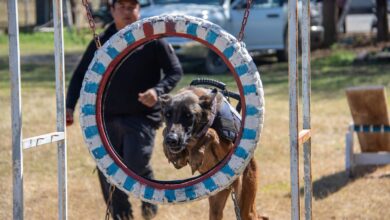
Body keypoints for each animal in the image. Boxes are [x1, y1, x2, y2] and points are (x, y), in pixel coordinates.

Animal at [159, 87, 266, 220]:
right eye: (167, 115)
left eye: (189, 115)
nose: (171, 140)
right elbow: (164, 131)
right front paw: (170, 151)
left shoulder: (227, 149)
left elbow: (211, 132)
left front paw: (197, 151)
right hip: (216, 205)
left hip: (245, 203)